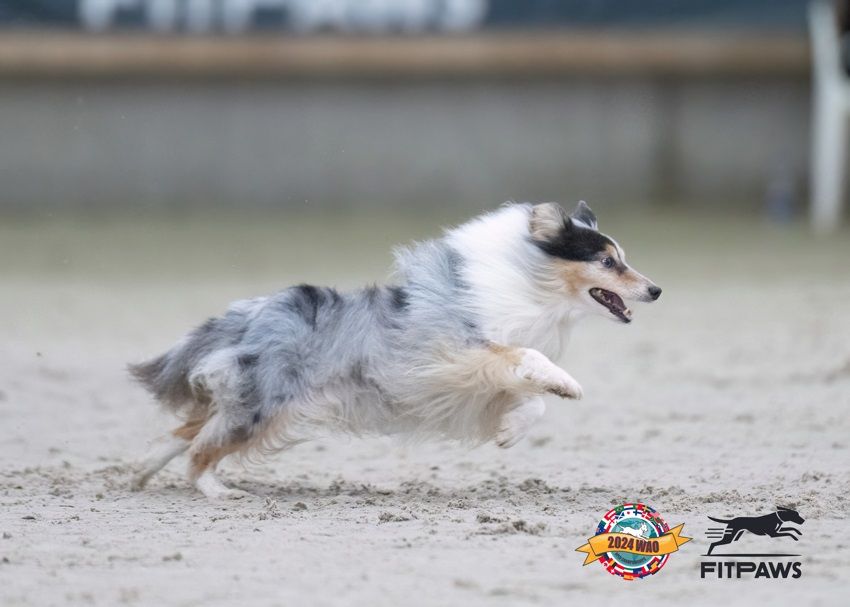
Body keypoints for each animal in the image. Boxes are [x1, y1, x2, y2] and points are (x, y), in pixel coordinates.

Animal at [129, 203, 664, 498]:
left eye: (622, 259)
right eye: (607, 262)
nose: (657, 290)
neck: (528, 284)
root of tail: (251, 312)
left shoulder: (475, 379)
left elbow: (532, 401)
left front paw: (510, 432)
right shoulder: (458, 355)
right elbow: (529, 362)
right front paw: (567, 385)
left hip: (249, 397)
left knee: (188, 430)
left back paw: (139, 472)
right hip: (264, 405)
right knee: (202, 446)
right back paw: (216, 491)